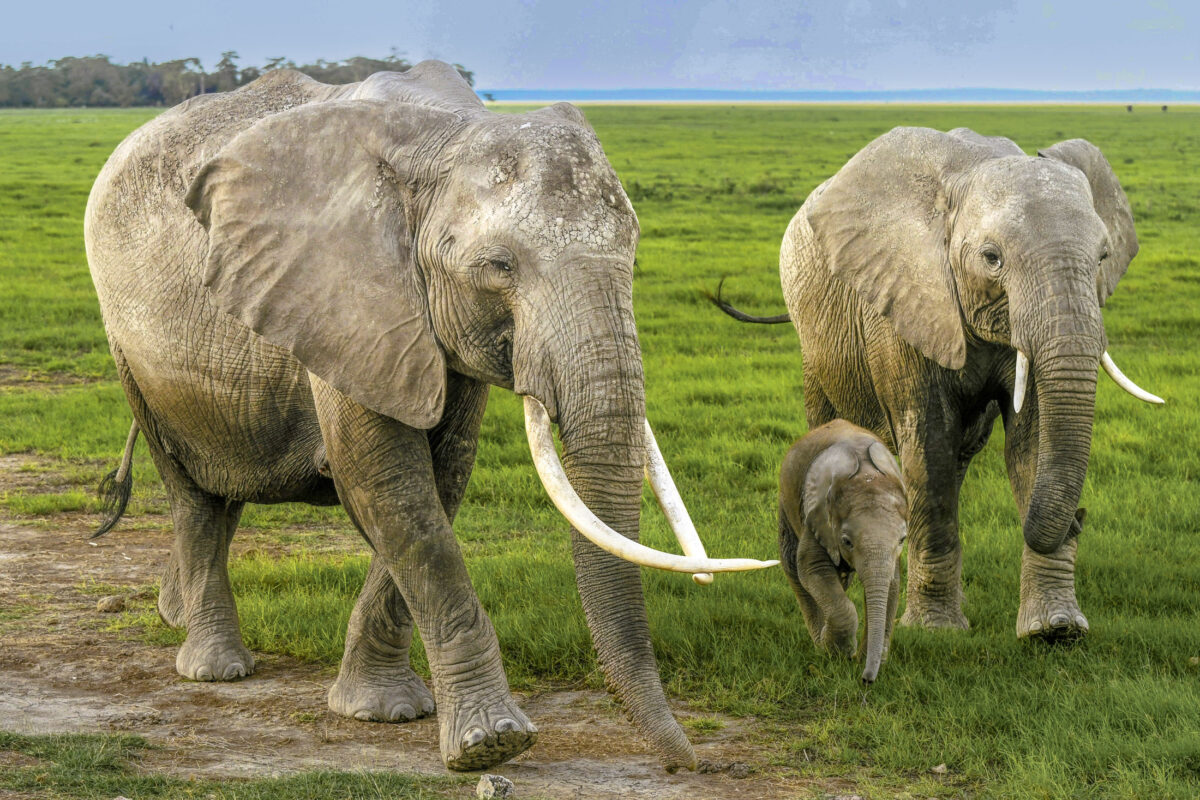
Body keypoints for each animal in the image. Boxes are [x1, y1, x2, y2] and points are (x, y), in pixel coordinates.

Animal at [84, 60, 775, 772]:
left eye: (634, 250)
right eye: (499, 267)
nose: (694, 762)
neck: (447, 133)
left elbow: (441, 479)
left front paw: (384, 711)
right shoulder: (350, 294)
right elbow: (392, 489)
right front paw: (491, 745)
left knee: (224, 493)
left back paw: (176, 616)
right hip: (126, 345)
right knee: (192, 493)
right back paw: (216, 666)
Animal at [713, 126, 1161, 641]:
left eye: (1104, 257)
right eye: (992, 258)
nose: (1080, 520)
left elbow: (1031, 444)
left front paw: (1055, 629)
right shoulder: (902, 299)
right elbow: (930, 450)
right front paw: (936, 631)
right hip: (814, 341)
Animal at [778, 420, 908, 684]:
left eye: (902, 539)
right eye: (847, 541)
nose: (866, 680)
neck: (867, 477)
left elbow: (892, 583)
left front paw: (863, 658)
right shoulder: (816, 515)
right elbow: (811, 567)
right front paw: (838, 653)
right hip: (787, 502)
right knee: (793, 566)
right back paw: (820, 642)